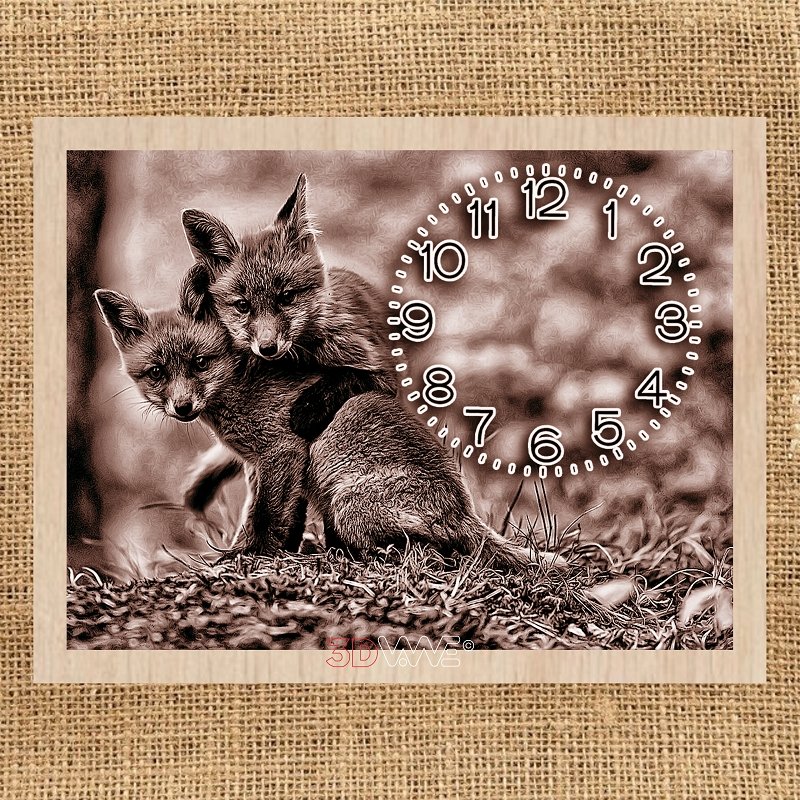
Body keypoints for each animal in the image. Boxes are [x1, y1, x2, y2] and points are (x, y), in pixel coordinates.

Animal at [94, 288, 535, 569]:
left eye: (200, 363)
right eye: (157, 372)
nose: (183, 407)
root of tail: (463, 509)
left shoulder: (282, 450)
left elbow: (267, 517)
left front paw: (252, 555)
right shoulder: (260, 465)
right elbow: (270, 516)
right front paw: (261, 550)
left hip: (347, 505)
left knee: (427, 550)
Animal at [179, 172, 397, 513]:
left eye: (286, 297)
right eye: (243, 306)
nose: (267, 348)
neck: (302, 359)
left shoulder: (381, 373)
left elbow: (343, 378)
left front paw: (307, 408)